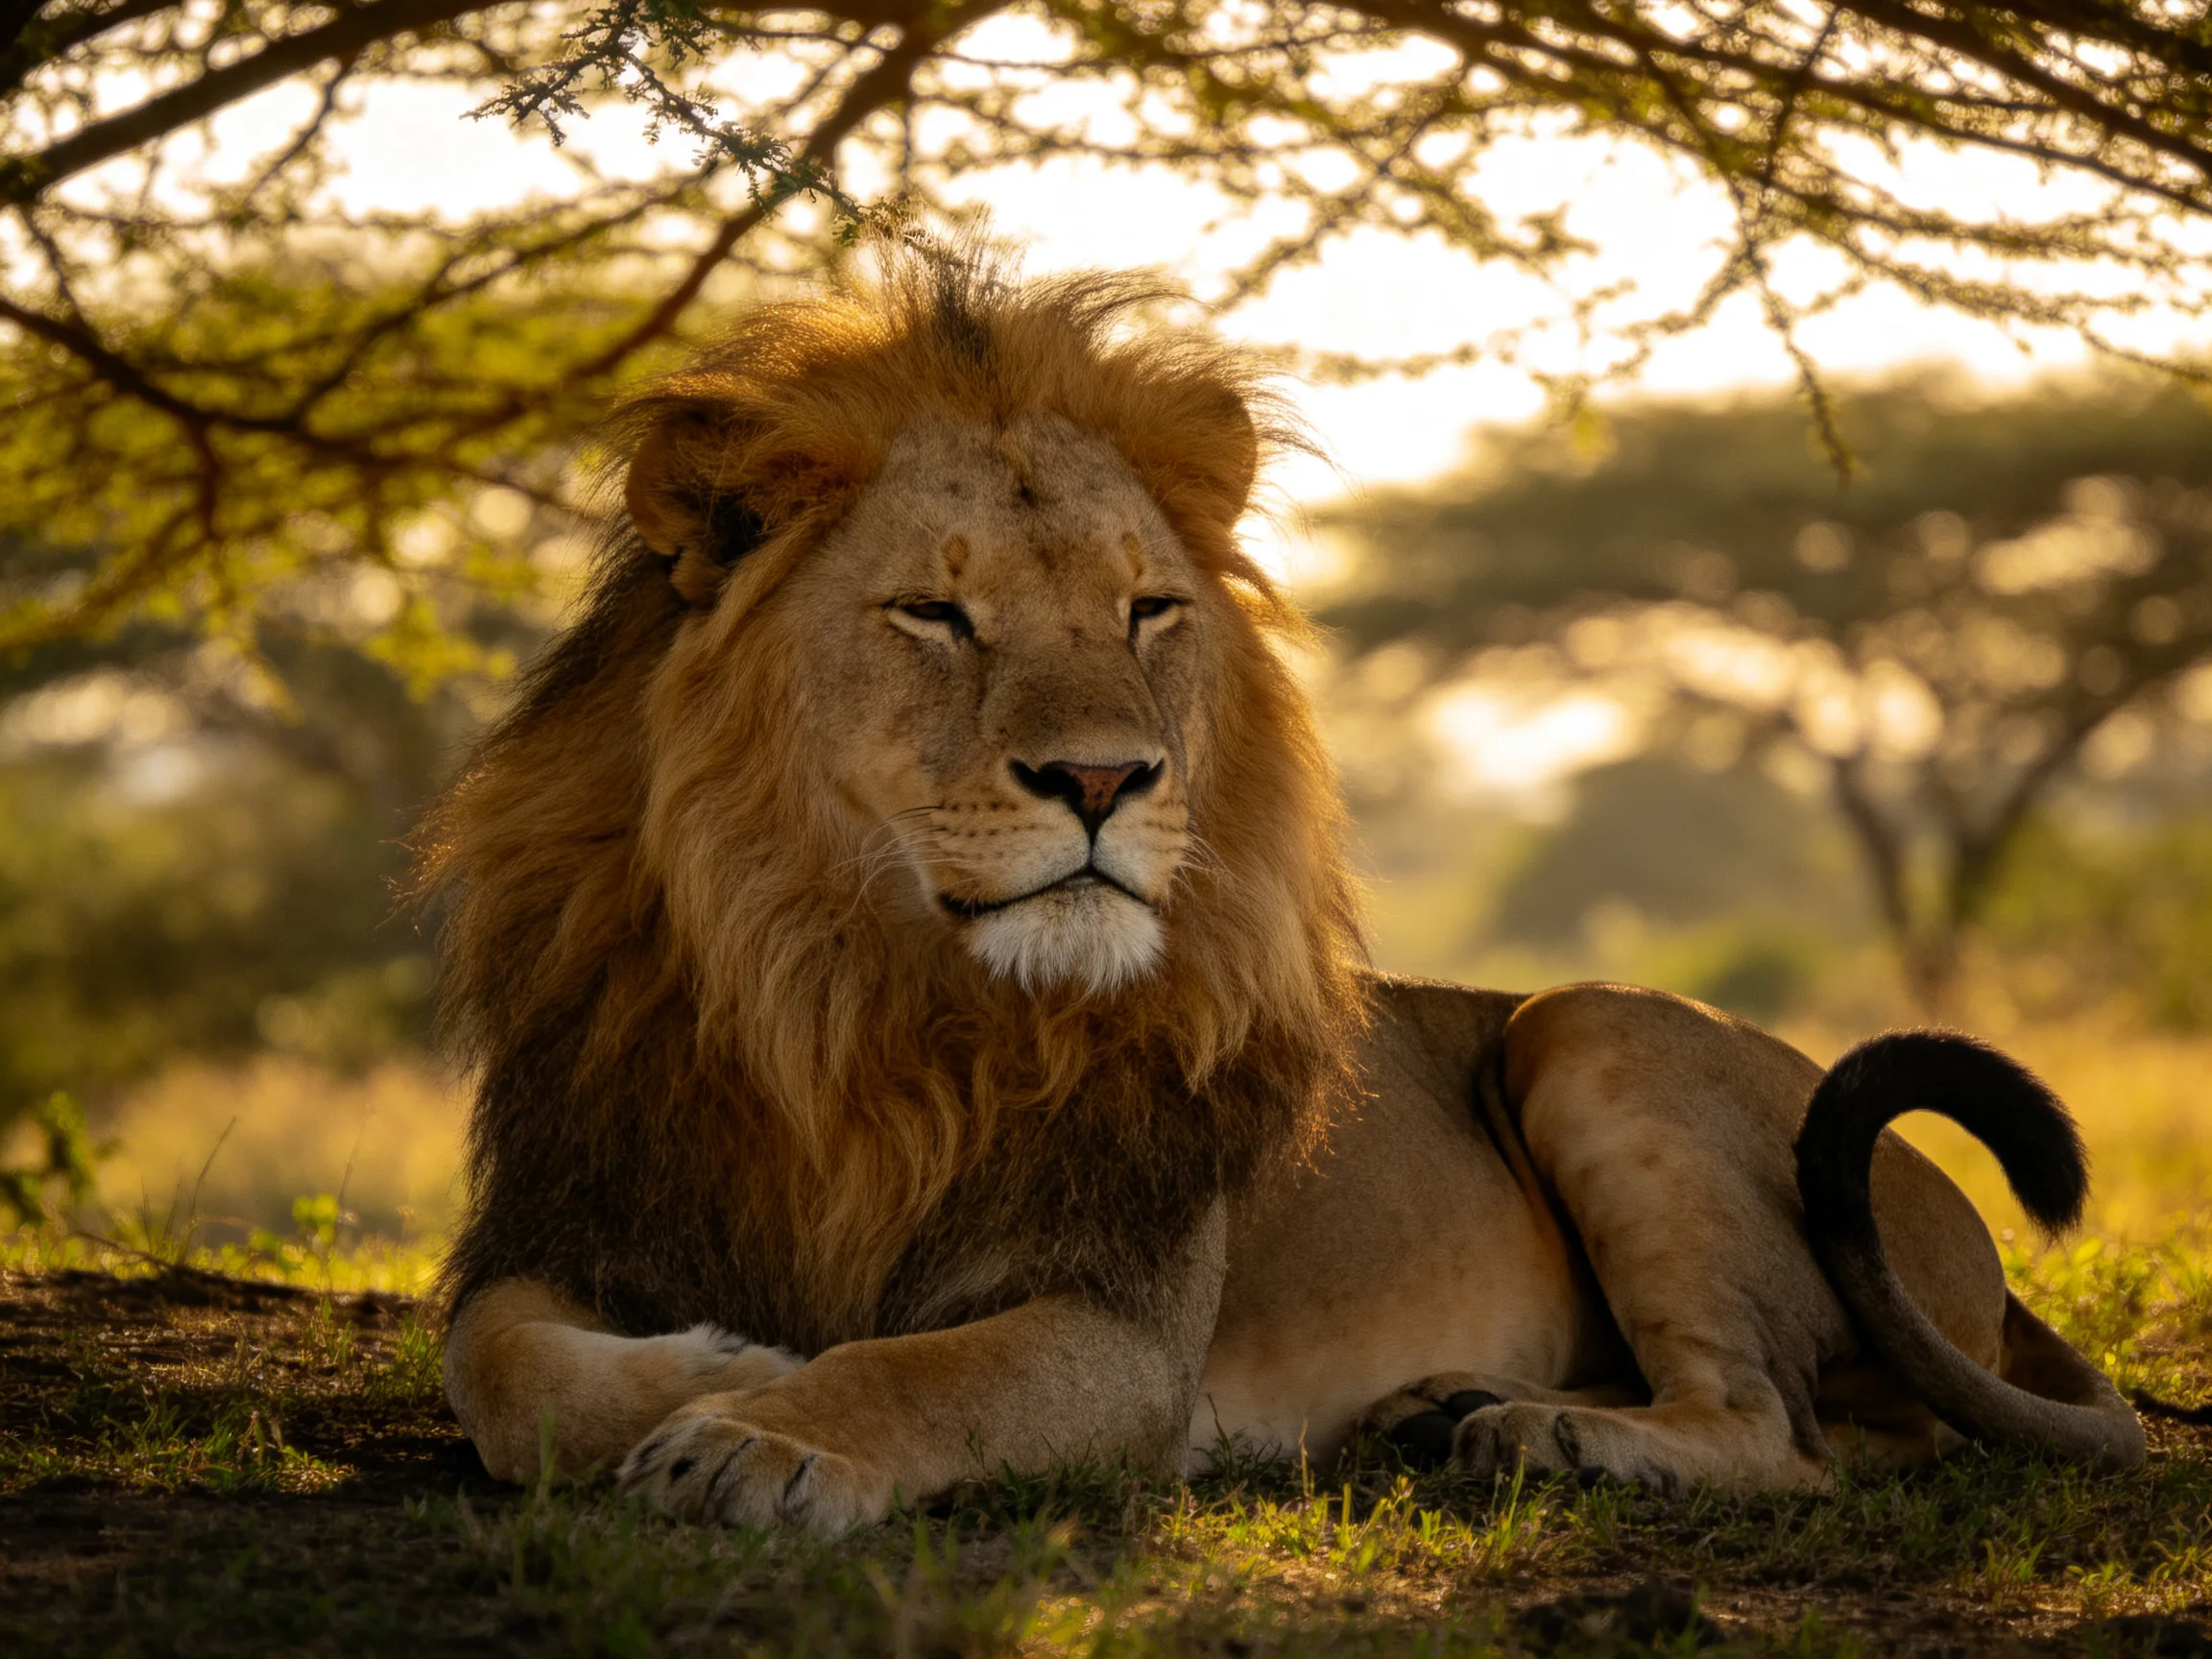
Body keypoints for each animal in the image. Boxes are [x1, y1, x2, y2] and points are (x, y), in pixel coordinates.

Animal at [425, 249, 2143, 1533]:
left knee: (1787, 1435)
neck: (850, 990)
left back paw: (1550, 1439)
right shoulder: (564, 1216)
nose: (1106, 780)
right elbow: (498, 1373)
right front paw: (709, 1367)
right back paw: (1460, 1405)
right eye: (935, 614)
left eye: (1147, 611)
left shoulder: (1124, 1328)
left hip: (1591, 1023)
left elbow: (916, 1371)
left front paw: (761, 1430)